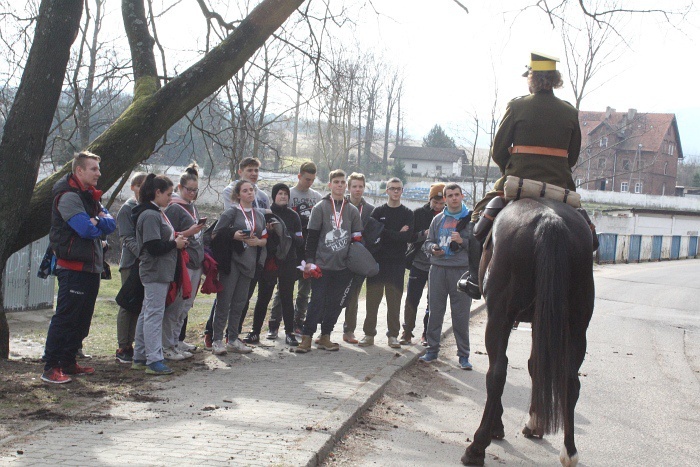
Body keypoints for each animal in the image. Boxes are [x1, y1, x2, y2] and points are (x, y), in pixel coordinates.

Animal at [460, 198, 596, 467]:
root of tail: (549, 220)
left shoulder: (501, 316)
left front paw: (497, 427)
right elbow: (536, 365)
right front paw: (534, 423)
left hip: (500, 316)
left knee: (497, 372)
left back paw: (477, 447)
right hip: (577, 324)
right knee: (570, 380)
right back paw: (569, 450)